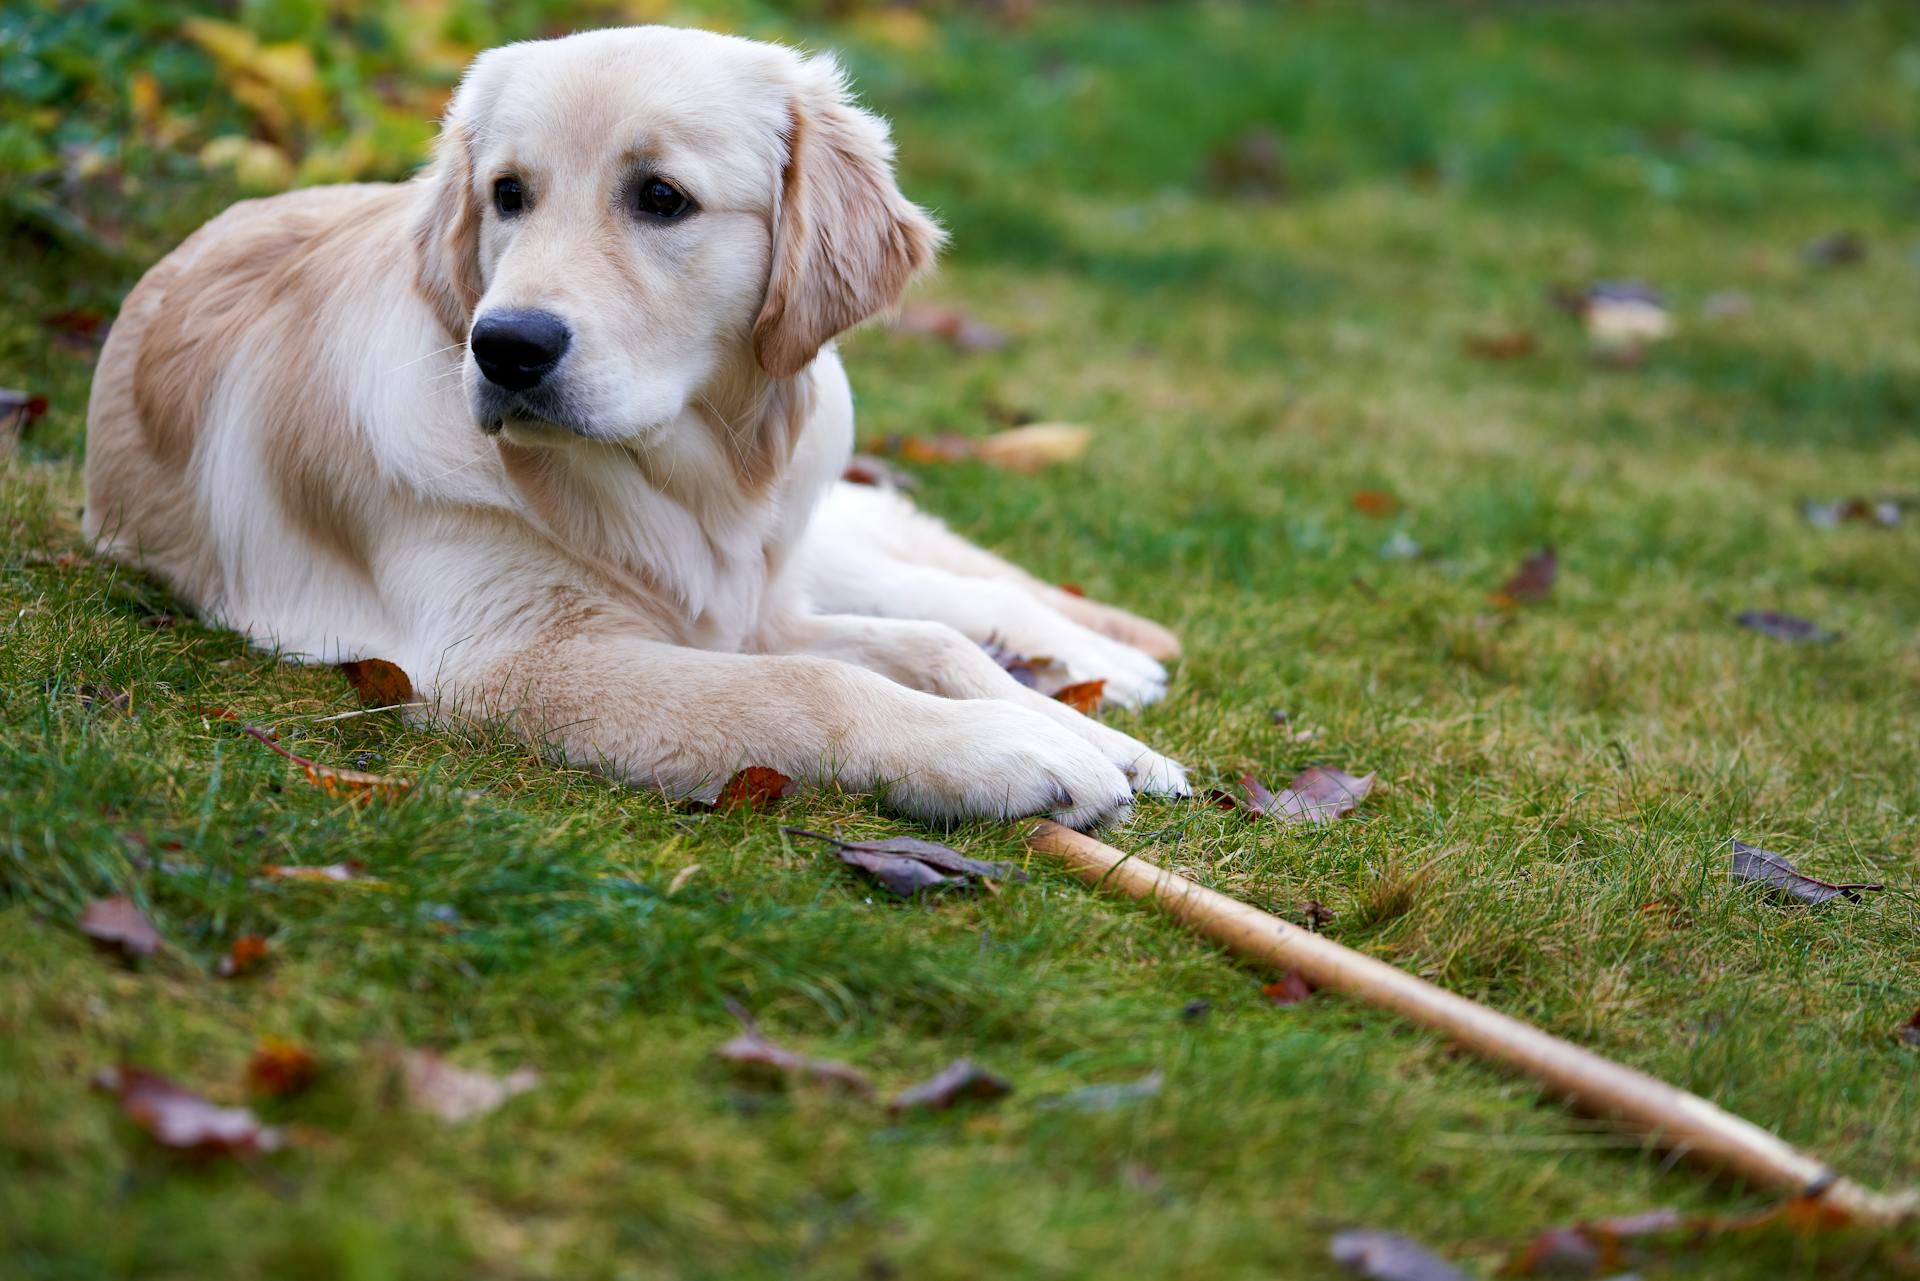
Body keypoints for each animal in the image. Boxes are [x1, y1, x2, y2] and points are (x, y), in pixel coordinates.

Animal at [86, 30, 1182, 837]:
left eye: (662, 198)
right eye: (508, 195)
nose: (504, 347)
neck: (697, 477)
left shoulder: (746, 608)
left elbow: (928, 647)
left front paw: (1080, 735)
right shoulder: (506, 663)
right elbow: (816, 684)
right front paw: (1015, 748)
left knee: (929, 588)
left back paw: (1107, 669)